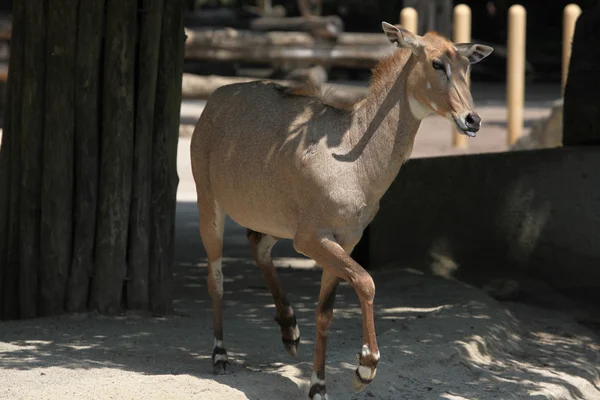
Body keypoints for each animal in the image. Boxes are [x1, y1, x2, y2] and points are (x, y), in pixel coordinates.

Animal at [191, 22, 492, 400]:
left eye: (467, 66)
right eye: (437, 63)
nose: (472, 119)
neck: (355, 160)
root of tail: (214, 100)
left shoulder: (344, 239)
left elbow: (325, 311)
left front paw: (318, 385)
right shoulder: (312, 238)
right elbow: (366, 281)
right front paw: (365, 368)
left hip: (275, 221)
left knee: (258, 246)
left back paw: (290, 330)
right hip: (209, 204)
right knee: (215, 278)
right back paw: (220, 354)